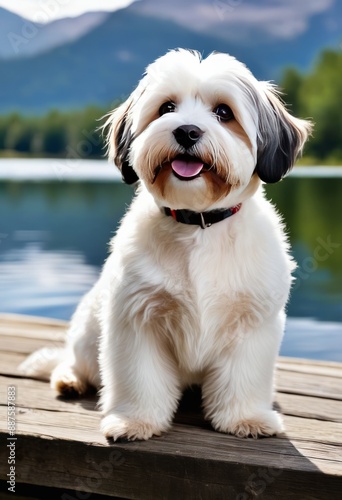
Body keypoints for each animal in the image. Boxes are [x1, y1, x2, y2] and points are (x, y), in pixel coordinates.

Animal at [19, 49, 312, 442]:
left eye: (224, 112)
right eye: (167, 108)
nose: (187, 131)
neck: (198, 224)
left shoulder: (251, 322)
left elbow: (243, 377)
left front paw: (245, 418)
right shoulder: (137, 318)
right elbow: (140, 378)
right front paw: (135, 421)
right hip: (86, 333)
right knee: (75, 362)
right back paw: (70, 379)